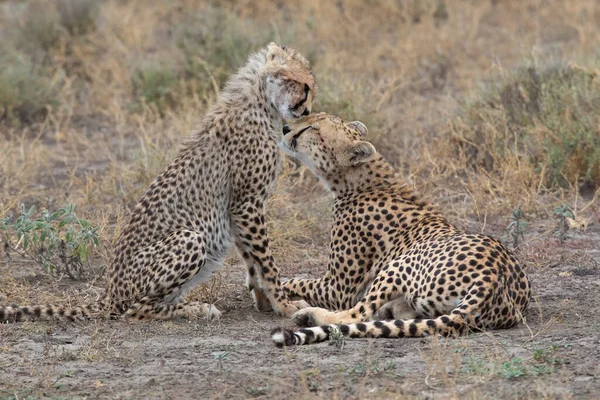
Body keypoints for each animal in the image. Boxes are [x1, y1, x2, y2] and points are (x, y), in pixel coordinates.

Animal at [0, 43, 318, 322]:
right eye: (304, 86)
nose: (306, 111)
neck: (261, 101)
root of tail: (109, 293)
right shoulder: (247, 203)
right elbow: (266, 261)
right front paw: (284, 305)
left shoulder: (239, 208)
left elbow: (252, 261)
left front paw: (265, 301)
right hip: (189, 238)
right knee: (135, 311)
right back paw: (197, 309)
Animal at [270, 113, 528, 346]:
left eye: (312, 128)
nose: (284, 128)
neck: (361, 181)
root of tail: (493, 279)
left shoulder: (337, 289)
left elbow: (296, 281)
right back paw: (392, 308)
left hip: (397, 265)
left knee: (353, 316)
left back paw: (309, 315)